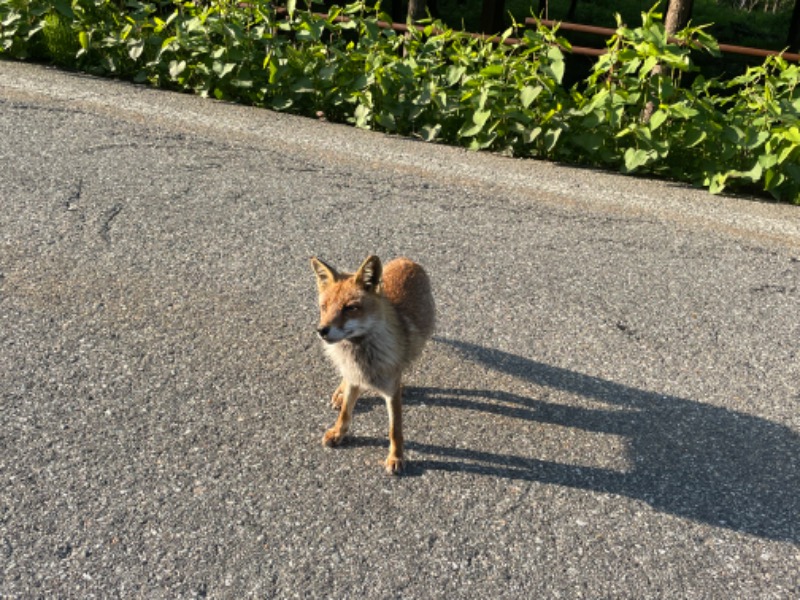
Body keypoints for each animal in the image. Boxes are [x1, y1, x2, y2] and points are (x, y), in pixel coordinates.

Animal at [312, 253, 438, 474]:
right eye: (324, 307)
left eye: (350, 308)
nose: (321, 330)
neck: (361, 358)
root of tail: (405, 259)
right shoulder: (354, 377)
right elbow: (345, 413)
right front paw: (338, 432)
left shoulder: (391, 392)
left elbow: (394, 430)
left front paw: (396, 457)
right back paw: (340, 393)